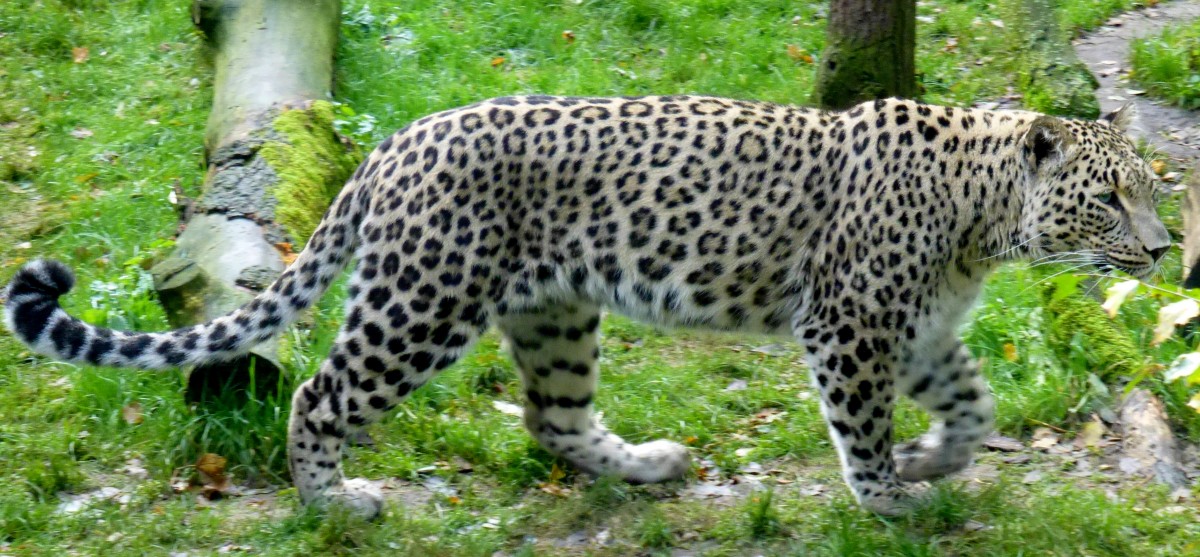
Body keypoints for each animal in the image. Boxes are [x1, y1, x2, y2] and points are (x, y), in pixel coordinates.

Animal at [0, 96, 1161, 518]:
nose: (1158, 248)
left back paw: (647, 463)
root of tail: (393, 141)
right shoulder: (850, 323)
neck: (985, 219)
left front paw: (931, 462)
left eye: (1152, 188)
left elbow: (973, 406)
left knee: (552, 416)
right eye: (1110, 196)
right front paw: (888, 496)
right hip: (424, 298)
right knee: (321, 393)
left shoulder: (916, 331)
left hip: (553, 308)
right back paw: (334, 499)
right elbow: (863, 424)